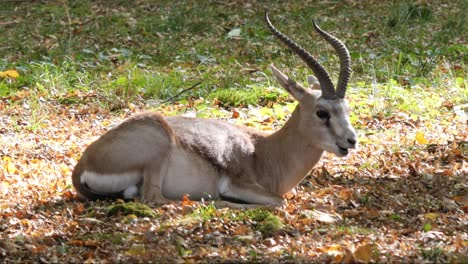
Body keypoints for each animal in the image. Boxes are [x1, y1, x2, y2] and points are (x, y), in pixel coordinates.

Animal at [72, 12, 358, 207]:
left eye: (346, 108)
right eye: (322, 112)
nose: (351, 140)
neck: (267, 153)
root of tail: (83, 164)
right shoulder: (238, 184)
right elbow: (279, 201)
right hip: (157, 149)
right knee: (157, 199)